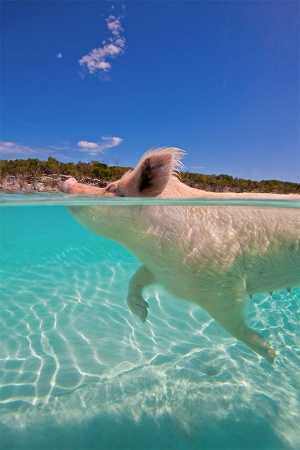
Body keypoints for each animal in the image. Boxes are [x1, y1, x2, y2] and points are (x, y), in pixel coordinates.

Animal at [61, 148, 300, 362]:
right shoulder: (164, 271)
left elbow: (235, 326)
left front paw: (271, 356)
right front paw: (142, 316)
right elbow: (136, 278)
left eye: (111, 188)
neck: (143, 245)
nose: (67, 179)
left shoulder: (222, 288)